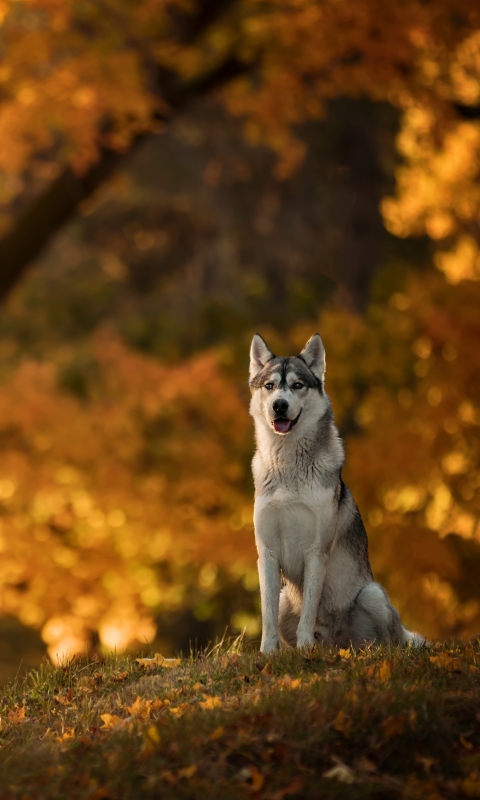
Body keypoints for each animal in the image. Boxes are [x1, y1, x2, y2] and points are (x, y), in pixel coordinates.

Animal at [249, 334, 422, 652]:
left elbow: (309, 610)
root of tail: (338, 644)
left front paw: (305, 648)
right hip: (284, 599)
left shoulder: (316, 551)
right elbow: (267, 616)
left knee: (389, 643)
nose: (279, 405)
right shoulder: (266, 553)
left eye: (297, 385)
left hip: (372, 595)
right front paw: (268, 653)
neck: (288, 467)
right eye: (269, 386)